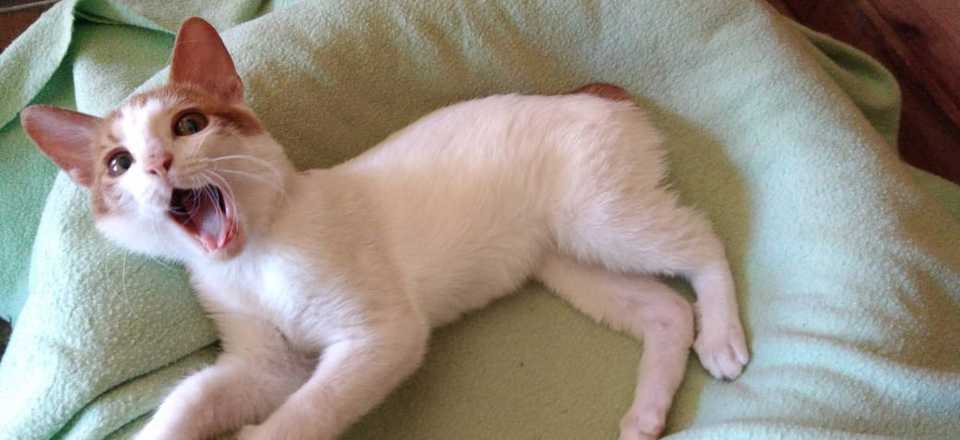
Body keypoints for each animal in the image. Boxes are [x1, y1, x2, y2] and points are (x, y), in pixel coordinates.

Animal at [21, 17, 748, 440]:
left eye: (189, 124)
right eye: (117, 164)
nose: (157, 162)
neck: (255, 260)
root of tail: (589, 91)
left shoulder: (380, 337)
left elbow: (304, 413)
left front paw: (265, 434)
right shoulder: (265, 365)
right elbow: (193, 399)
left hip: (601, 217)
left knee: (702, 243)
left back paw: (721, 335)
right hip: (567, 259)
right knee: (664, 311)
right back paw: (646, 416)